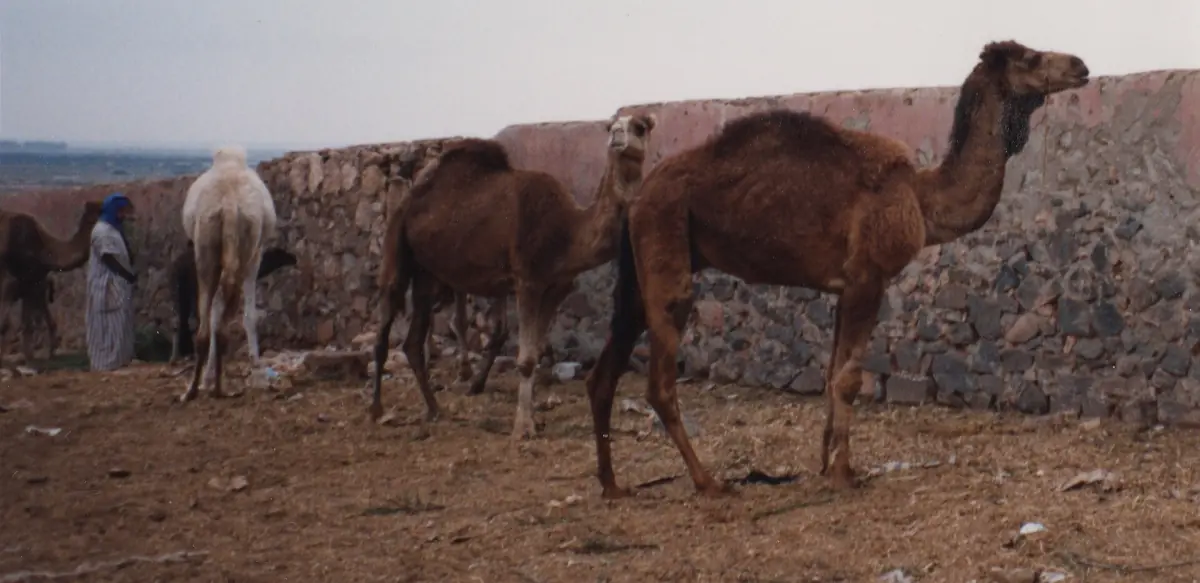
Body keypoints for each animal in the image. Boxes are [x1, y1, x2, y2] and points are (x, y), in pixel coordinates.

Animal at [0, 200, 104, 366]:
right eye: (97, 213)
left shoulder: (30, 285)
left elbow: (27, 326)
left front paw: (30, 362)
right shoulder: (9, 283)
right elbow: (5, 324)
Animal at [180, 145, 278, 402]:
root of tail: (230, 204)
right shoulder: (256, 255)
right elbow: (247, 315)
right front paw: (258, 371)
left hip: (207, 248)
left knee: (207, 322)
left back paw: (199, 388)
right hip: (239, 249)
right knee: (219, 319)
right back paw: (210, 387)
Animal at [371, 113, 656, 437]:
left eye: (641, 126)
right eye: (611, 125)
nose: (617, 135)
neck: (567, 231)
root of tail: (411, 199)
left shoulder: (556, 287)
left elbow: (534, 352)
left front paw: (530, 415)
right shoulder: (527, 280)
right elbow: (526, 359)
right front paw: (523, 426)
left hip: (427, 273)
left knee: (413, 341)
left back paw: (434, 409)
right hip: (397, 246)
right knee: (384, 324)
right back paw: (377, 409)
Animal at [583, 40, 1090, 499]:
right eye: (1030, 57)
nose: (1080, 65)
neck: (921, 199)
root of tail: (638, 198)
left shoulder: (846, 287)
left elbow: (831, 374)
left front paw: (826, 464)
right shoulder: (869, 278)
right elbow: (848, 379)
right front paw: (846, 475)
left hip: (641, 270)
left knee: (604, 373)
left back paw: (612, 485)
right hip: (666, 244)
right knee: (660, 382)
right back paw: (709, 482)